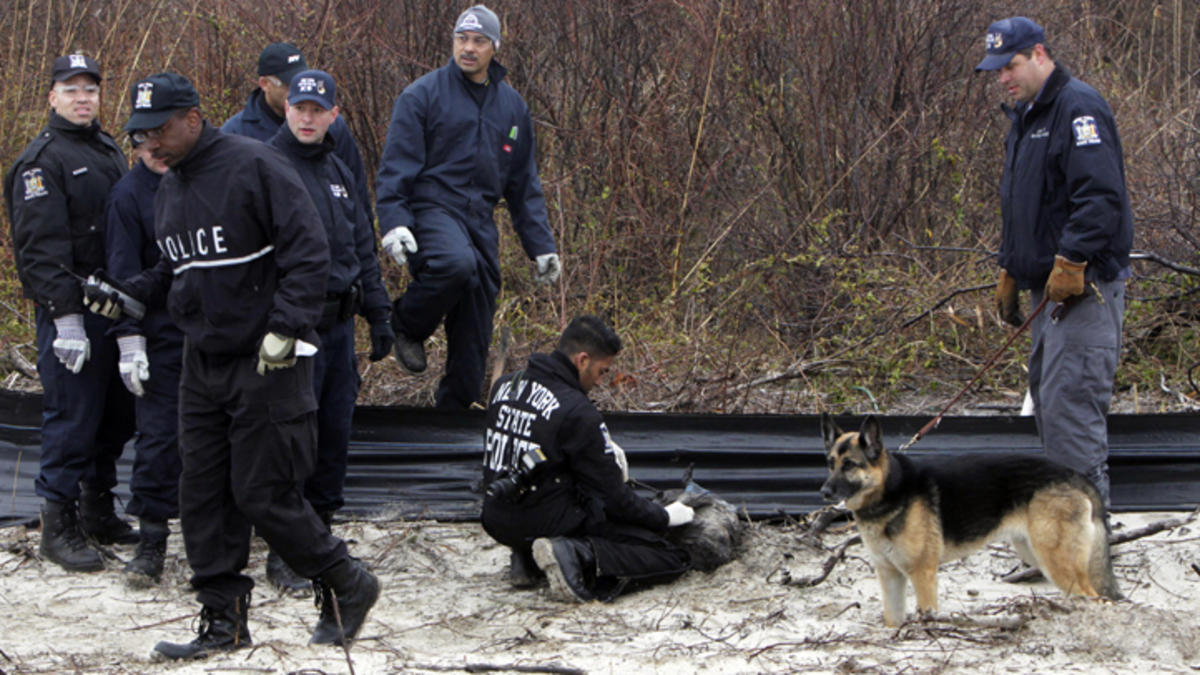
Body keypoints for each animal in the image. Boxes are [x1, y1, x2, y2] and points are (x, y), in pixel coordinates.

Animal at [820, 413, 1118, 624]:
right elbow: (893, 621)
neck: (889, 491)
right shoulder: (890, 577)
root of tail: (1076, 475)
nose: (823, 492)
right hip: (1037, 555)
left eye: (850, 465)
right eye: (830, 463)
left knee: (1096, 598)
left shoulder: (923, 575)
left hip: (1056, 562)